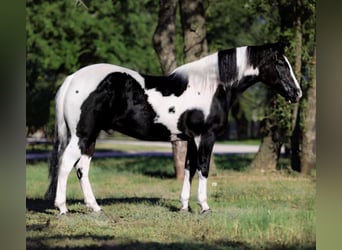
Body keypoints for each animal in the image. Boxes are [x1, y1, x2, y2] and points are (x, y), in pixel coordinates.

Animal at [44, 43, 302, 215]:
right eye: (280, 63)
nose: (297, 93)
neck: (211, 86)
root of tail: (72, 79)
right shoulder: (205, 137)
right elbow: (203, 168)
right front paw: (204, 206)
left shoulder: (190, 139)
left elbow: (189, 169)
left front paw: (184, 206)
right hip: (82, 135)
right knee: (66, 165)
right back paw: (62, 208)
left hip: (90, 138)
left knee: (82, 169)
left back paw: (95, 207)